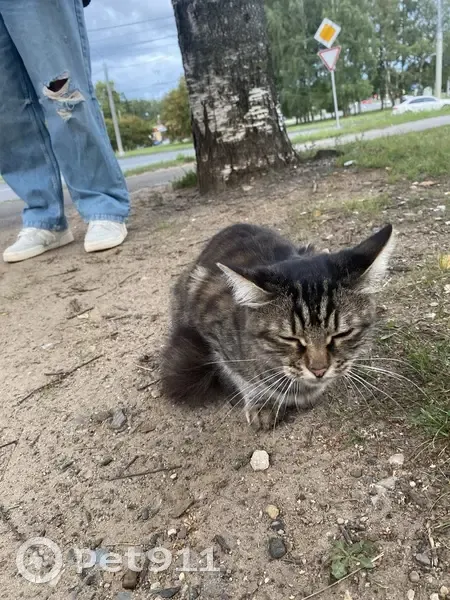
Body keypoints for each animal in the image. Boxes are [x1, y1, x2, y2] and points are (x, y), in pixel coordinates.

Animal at [161, 223, 394, 429]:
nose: (319, 370)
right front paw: (261, 401)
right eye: (290, 338)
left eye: (342, 334)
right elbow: (241, 375)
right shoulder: (212, 330)